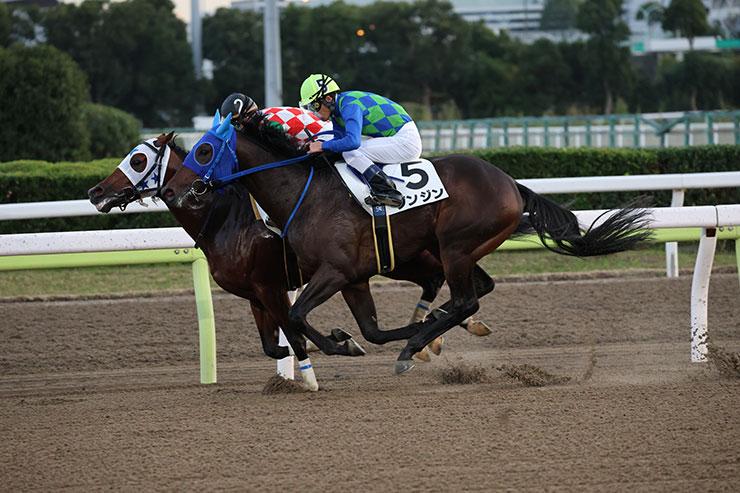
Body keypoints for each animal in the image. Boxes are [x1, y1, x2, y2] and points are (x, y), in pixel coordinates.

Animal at [88, 133, 493, 386]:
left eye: (138, 159)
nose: (96, 192)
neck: (224, 218)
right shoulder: (254, 294)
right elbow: (274, 344)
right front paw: (331, 343)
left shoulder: (271, 286)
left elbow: (294, 329)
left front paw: (317, 367)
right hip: (405, 259)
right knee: (458, 284)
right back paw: (444, 330)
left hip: (414, 256)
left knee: (459, 284)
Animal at [161, 112, 652, 374]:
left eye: (204, 150)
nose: (175, 190)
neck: (303, 192)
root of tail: (511, 183)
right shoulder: (352, 277)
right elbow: (367, 329)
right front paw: (348, 339)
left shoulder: (334, 271)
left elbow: (298, 316)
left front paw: (340, 344)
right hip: (453, 250)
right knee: (473, 293)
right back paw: (431, 333)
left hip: (455, 246)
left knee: (466, 299)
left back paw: (415, 346)